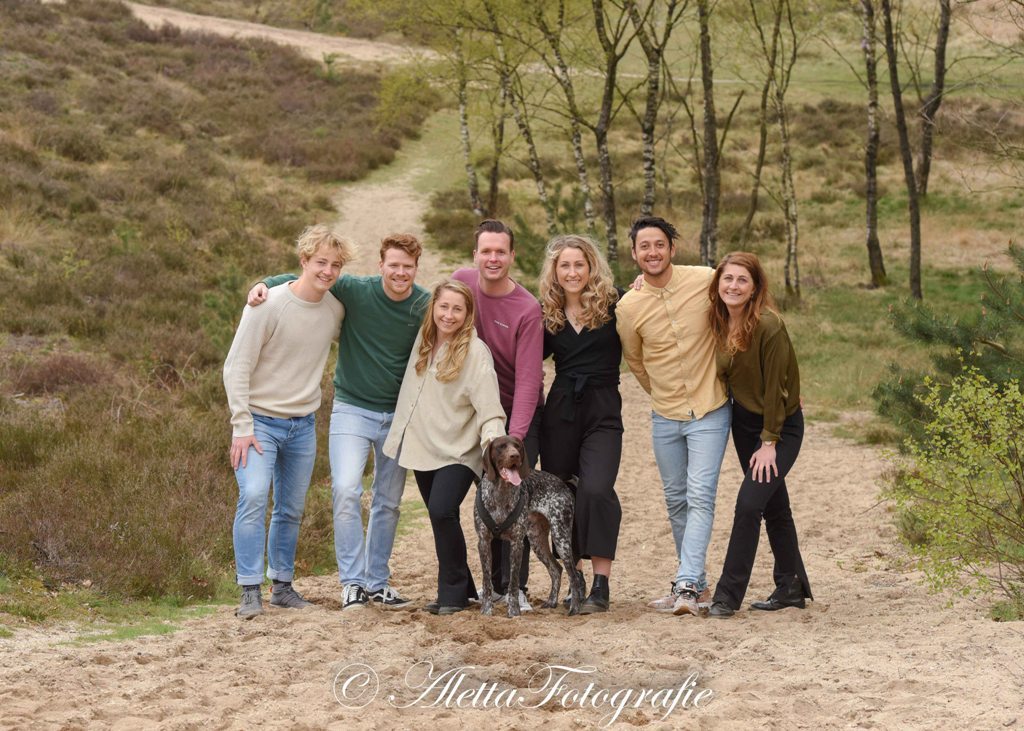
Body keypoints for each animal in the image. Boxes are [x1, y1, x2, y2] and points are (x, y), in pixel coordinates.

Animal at [474, 435, 584, 617]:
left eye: (517, 446)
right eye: (501, 446)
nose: (515, 456)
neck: (501, 493)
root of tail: (561, 482)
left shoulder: (517, 543)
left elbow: (513, 583)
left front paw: (513, 611)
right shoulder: (484, 542)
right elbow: (487, 580)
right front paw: (486, 610)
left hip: (561, 538)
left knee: (573, 576)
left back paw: (574, 608)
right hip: (537, 540)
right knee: (556, 569)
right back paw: (551, 602)